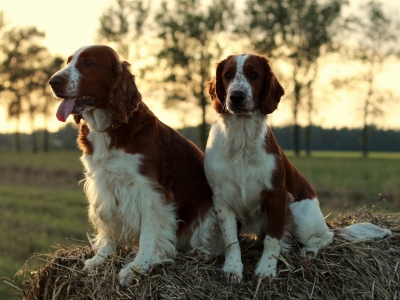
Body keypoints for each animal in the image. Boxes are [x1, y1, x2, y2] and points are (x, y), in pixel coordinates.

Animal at [48, 45, 223, 286]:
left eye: (88, 63)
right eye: (68, 62)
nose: (53, 81)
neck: (109, 128)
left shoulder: (149, 191)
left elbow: (149, 233)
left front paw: (138, 266)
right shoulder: (103, 185)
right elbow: (107, 226)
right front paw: (100, 258)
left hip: (211, 207)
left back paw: (203, 252)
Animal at [205, 53, 392, 284]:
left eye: (254, 74)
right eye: (228, 75)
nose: (236, 97)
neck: (241, 139)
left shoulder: (277, 196)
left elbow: (272, 239)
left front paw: (266, 270)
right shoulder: (222, 199)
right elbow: (231, 240)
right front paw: (232, 269)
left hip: (299, 211)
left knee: (326, 237)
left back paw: (308, 251)